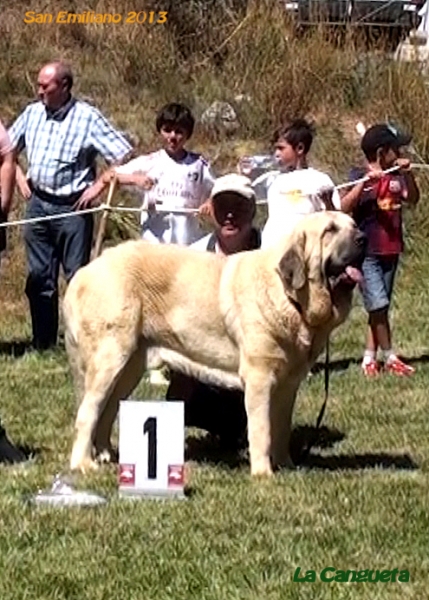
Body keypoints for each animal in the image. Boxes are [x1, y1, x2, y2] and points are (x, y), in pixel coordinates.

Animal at [63, 213, 364, 476]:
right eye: (330, 230)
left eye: (353, 224)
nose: (363, 237)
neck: (289, 295)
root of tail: (83, 274)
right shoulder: (259, 378)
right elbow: (262, 430)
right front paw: (263, 473)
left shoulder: (288, 384)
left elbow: (280, 428)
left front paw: (286, 465)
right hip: (110, 359)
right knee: (88, 411)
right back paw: (83, 464)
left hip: (129, 368)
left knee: (107, 409)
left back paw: (107, 456)